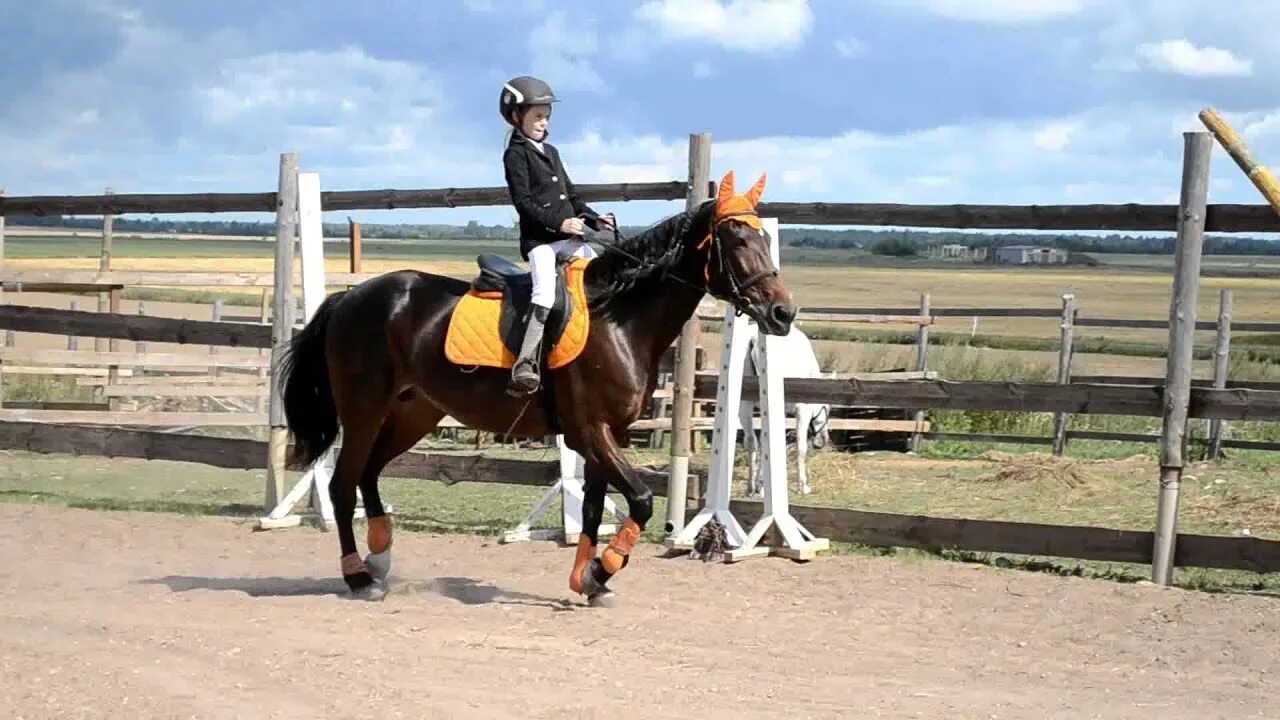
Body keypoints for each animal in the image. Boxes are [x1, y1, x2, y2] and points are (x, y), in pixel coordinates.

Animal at [282, 170, 798, 602]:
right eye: (736, 238)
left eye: (763, 237)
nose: (783, 313)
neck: (619, 318)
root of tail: (351, 296)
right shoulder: (590, 431)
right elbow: (640, 501)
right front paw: (603, 569)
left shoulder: (605, 435)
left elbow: (594, 509)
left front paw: (588, 579)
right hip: (364, 411)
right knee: (343, 483)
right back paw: (359, 576)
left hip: (413, 412)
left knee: (368, 474)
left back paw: (380, 556)